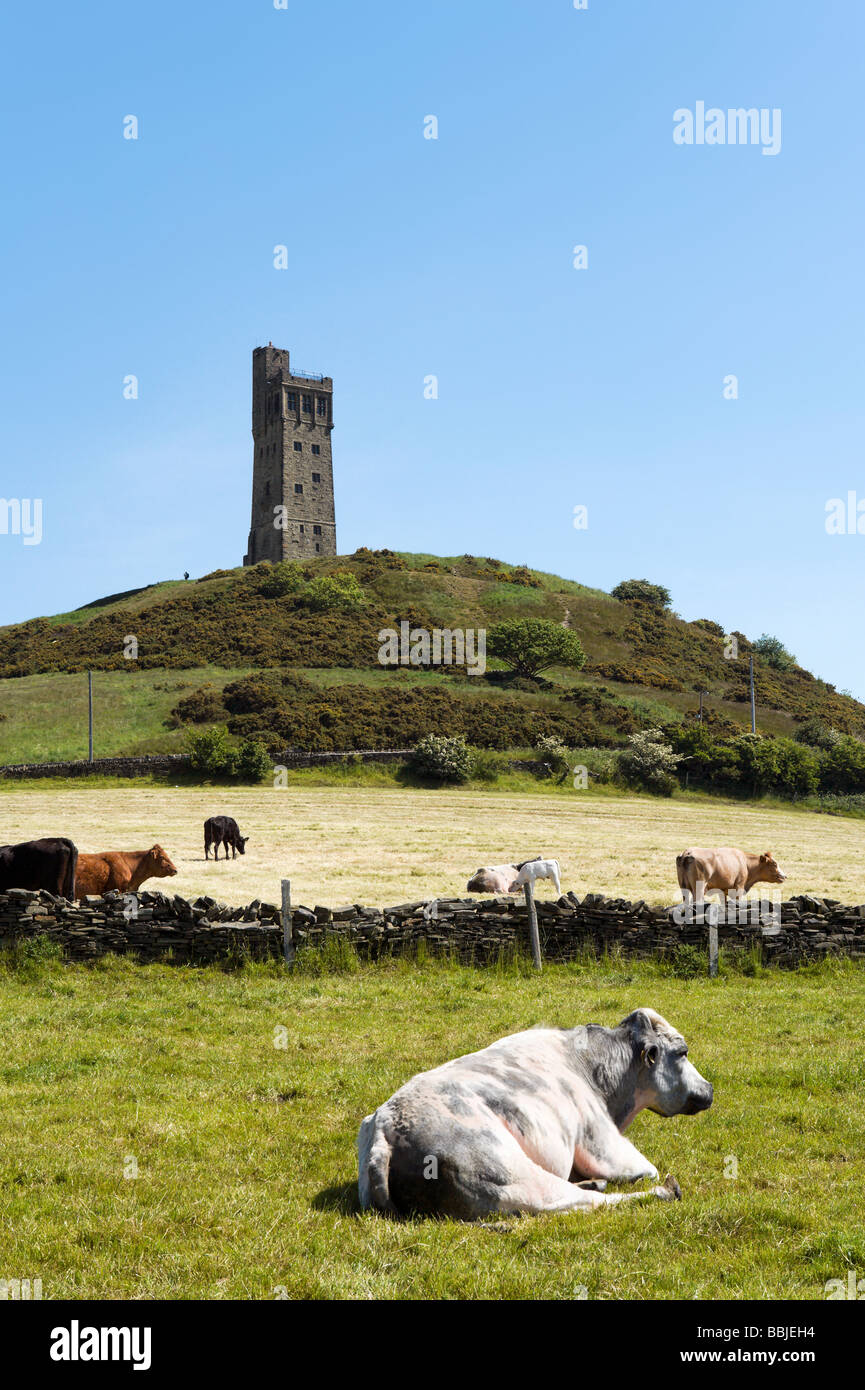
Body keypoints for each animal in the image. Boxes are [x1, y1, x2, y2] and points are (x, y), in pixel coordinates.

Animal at [358, 1006, 712, 1223]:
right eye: (682, 1052)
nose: (709, 1088)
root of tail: (385, 1128)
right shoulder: (603, 1144)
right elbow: (647, 1169)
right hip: (512, 1178)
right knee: (585, 1201)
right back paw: (662, 1191)